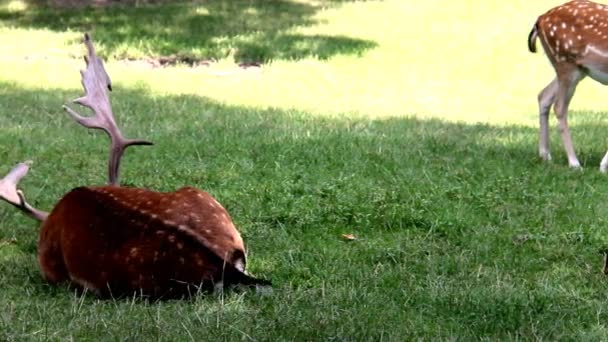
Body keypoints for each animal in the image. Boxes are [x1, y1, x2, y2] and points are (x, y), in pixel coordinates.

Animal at [528, 0, 608, 171]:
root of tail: (540, 19)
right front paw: (603, 167)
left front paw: (604, 166)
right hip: (566, 62)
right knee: (559, 106)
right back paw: (574, 163)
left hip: (575, 69)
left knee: (543, 95)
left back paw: (545, 155)